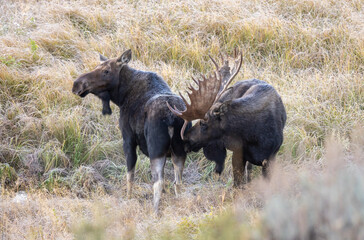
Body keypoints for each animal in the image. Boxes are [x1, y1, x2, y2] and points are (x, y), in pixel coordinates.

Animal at [72, 48, 189, 212]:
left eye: (106, 70)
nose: (77, 85)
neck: (121, 96)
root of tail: (172, 118)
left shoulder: (128, 139)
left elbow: (130, 175)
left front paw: (128, 199)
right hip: (179, 151)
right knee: (178, 182)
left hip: (156, 150)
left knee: (158, 182)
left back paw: (155, 211)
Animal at [166, 49, 286, 187]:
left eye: (203, 123)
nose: (185, 139)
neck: (254, 136)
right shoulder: (238, 153)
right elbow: (237, 185)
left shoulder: (271, 158)